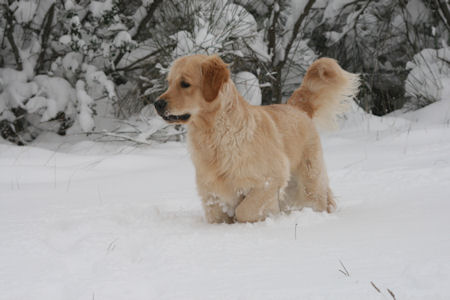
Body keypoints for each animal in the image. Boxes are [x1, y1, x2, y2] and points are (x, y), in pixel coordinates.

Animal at [155, 54, 358, 223]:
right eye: (169, 82)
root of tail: (296, 108)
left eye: (184, 83)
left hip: (309, 182)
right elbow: (217, 217)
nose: (157, 103)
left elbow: (244, 211)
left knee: (318, 200)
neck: (213, 135)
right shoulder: (211, 193)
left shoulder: (269, 180)